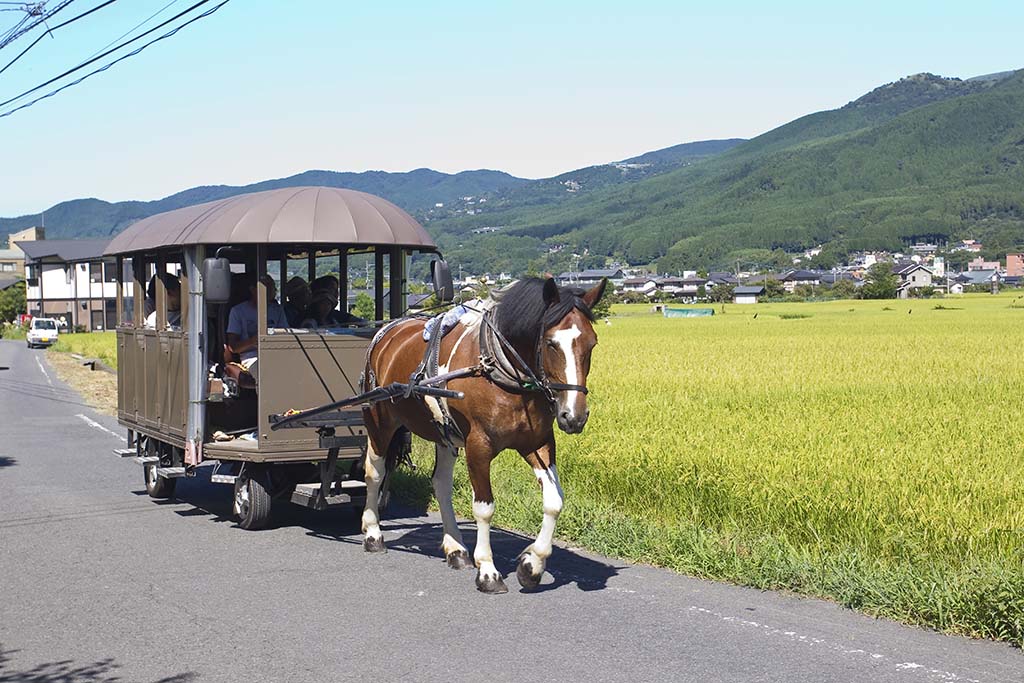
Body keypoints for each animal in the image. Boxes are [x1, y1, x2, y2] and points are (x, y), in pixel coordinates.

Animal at [359, 276, 606, 593]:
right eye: (551, 343)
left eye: (592, 343)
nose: (574, 416)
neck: (501, 370)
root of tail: (389, 329)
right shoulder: (478, 445)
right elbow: (484, 508)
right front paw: (488, 570)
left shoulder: (537, 442)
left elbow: (555, 501)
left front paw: (532, 564)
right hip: (380, 421)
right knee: (374, 473)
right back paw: (373, 534)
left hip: (444, 431)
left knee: (440, 483)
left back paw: (455, 549)